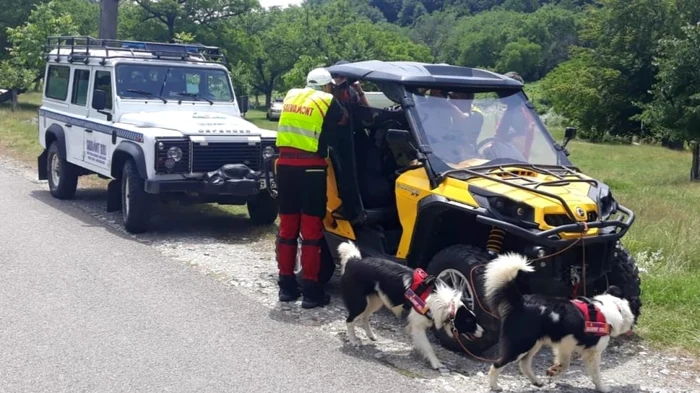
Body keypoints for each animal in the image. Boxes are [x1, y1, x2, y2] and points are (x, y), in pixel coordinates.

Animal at [338, 240, 482, 372]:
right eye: (469, 322)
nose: (482, 331)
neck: (444, 302)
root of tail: (353, 261)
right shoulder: (418, 324)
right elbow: (428, 347)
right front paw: (436, 363)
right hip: (360, 303)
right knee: (349, 320)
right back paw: (353, 340)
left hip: (376, 301)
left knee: (365, 317)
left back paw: (370, 335)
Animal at [486, 253, 640, 390]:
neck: (612, 307)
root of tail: (521, 301)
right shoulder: (592, 352)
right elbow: (595, 375)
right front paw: (603, 388)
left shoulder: (564, 345)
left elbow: (565, 364)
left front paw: (554, 371)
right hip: (521, 344)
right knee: (497, 364)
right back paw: (495, 386)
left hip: (534, 343)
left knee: (524, 364)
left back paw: (536, 381)